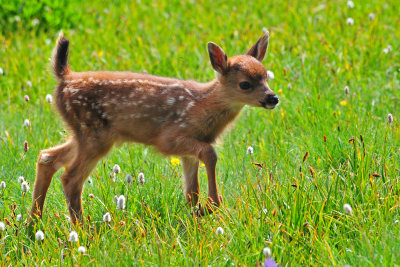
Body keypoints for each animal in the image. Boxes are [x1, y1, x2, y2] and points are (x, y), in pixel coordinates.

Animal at [30, 30, 278, 224]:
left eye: (266, 76)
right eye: (245, 84)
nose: (273, 98)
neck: (201, 107)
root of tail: (64, 77)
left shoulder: (189, 152)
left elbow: (192, 191)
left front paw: (197, 213)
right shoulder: (170, 138)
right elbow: (211, 154)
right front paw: (210, 205)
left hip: (82, 134)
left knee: (47, 157)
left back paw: (34, 223)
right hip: (94, 134)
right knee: (70, 178)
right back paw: (83, 229)